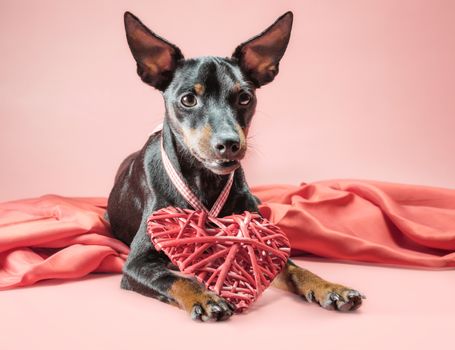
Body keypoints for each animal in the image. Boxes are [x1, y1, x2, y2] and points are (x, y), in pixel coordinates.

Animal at [106, 10, 364, 322]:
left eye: (245, 97)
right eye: (188, 99)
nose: (229, 143)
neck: (204, 182)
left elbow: (296, 268)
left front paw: (330, 287)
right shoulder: (136, 264)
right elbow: (175, 279)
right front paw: (205, 297)